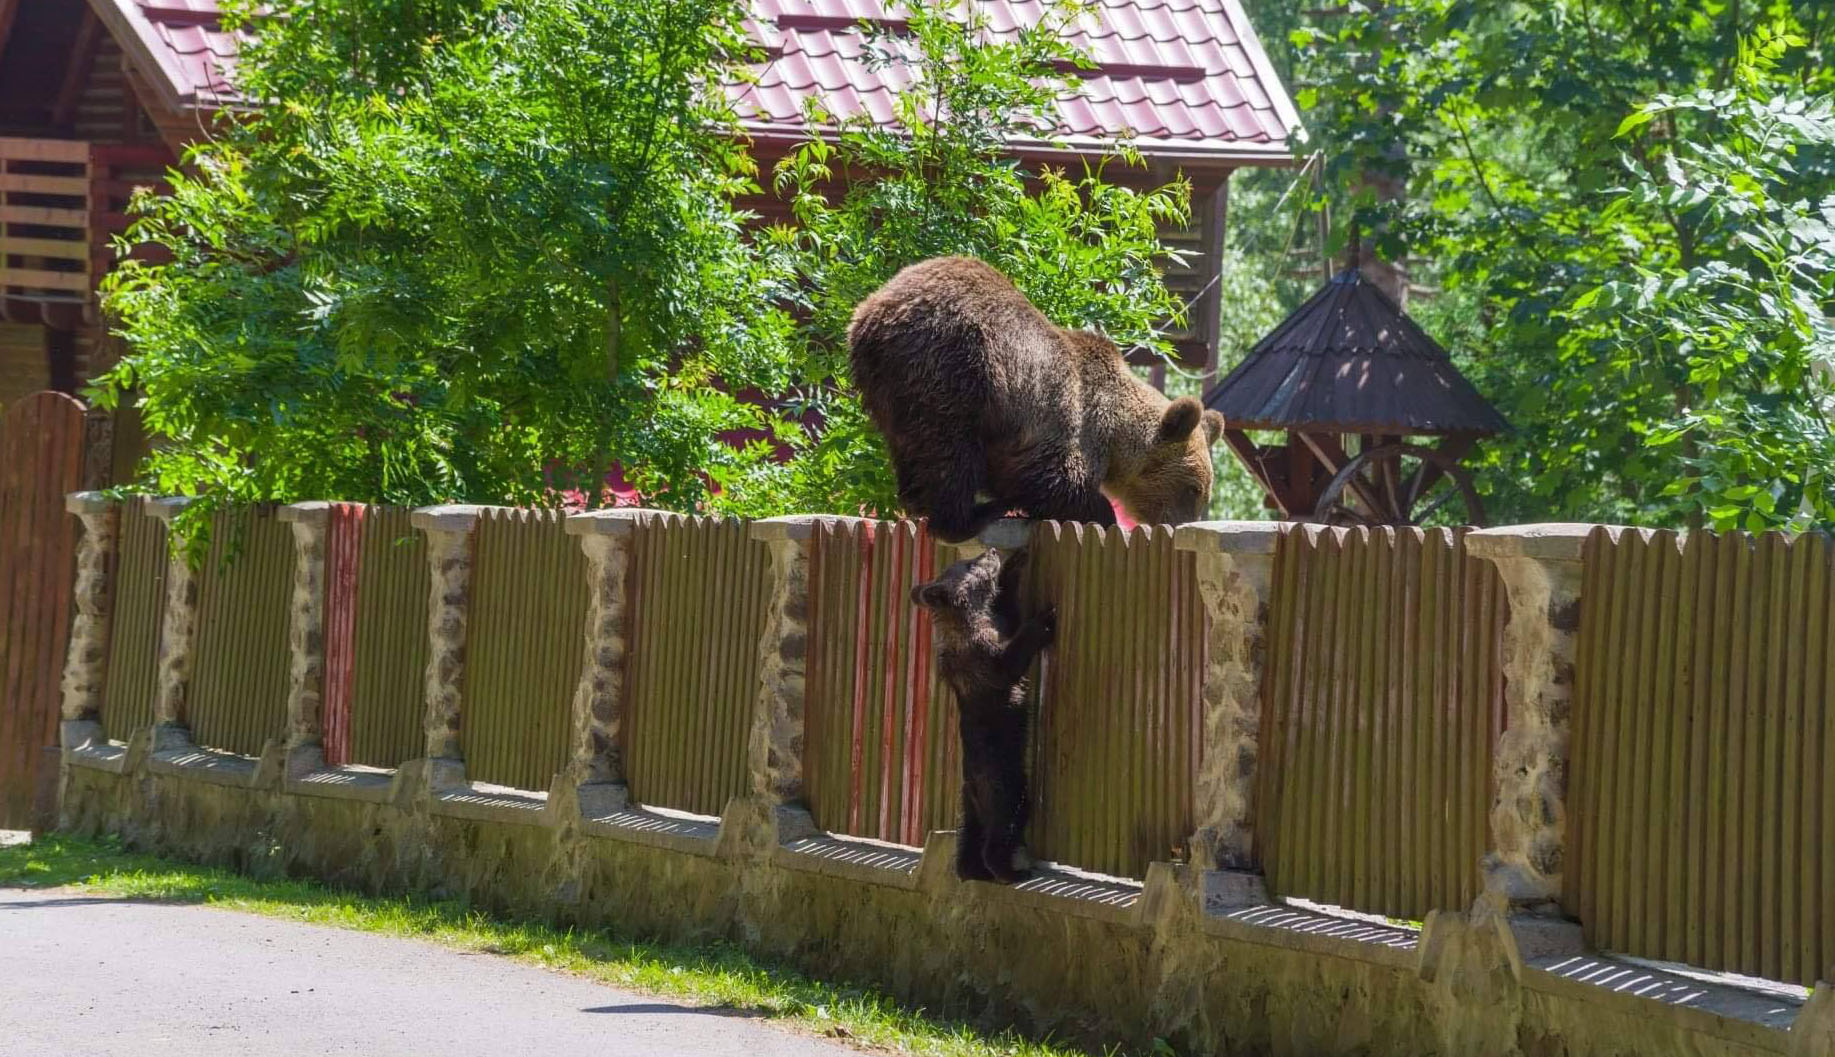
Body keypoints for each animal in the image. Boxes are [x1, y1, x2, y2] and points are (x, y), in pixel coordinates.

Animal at [847, 253, 1225, 539]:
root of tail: (872, 315)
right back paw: (970, 516)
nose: (1178, 525)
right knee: (949, 448)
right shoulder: (1067, 416)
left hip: (887, 387)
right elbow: (1055, 479)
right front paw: (1100, 513)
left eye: (1203, 491)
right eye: (1193, 487)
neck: (1116, 435)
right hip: (956, 365)